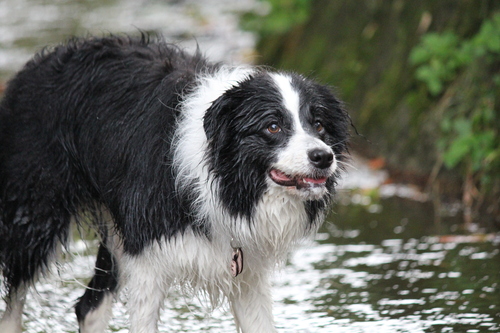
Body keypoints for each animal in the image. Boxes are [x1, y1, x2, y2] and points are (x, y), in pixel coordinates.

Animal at [0, 35, 350, 330]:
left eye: (319, 124)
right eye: (273, 126)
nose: (323, 157)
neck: (222, 180)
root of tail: (35, 67)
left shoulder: (248, 271)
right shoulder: (147, 259)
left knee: (89, 308)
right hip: (36, 214)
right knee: (15, 300)